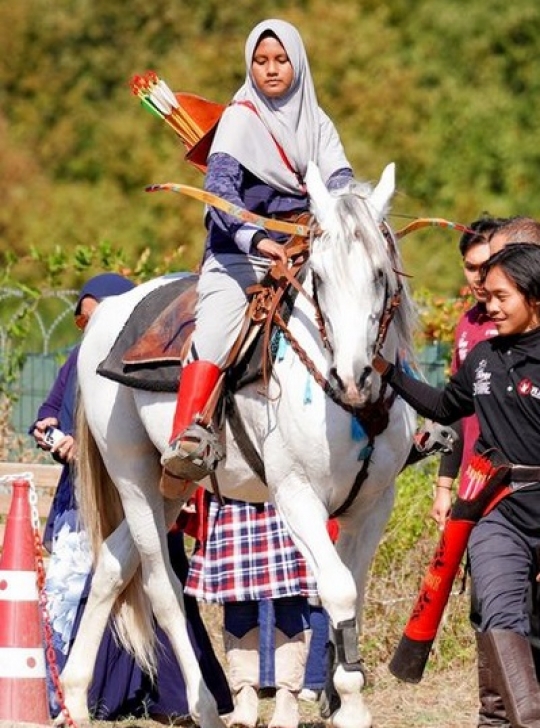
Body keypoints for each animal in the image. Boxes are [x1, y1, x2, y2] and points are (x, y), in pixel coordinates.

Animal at [59, 164, 416, 728]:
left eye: (380, 275)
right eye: (319, 278)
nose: (353, 375)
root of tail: (108, 314)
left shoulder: (373, 506)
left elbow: (351, 597)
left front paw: (346, 704)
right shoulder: (297, 498)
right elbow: (337, 589)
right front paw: (351, 705)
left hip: (172, 486)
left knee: (113, 566)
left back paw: (73, 697)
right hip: (132, 474)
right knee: (161, 588)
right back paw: (204, 705)